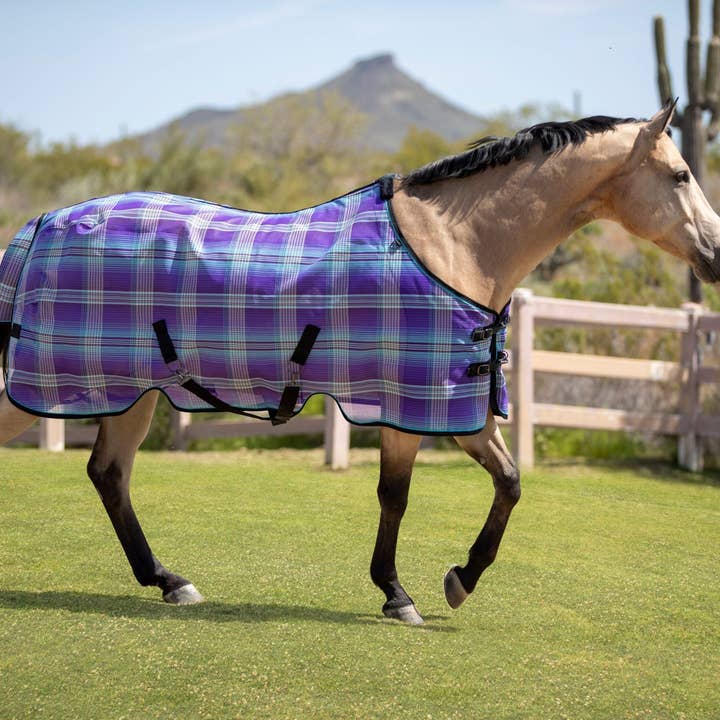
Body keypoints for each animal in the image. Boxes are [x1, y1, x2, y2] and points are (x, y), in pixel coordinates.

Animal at [1, 101, 718, 626]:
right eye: (682, 175)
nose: (715, 254)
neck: (453, 245)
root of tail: (39, 224)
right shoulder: (419, 403)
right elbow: (398, 496)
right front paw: (406, 593)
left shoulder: (455, 407)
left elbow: (509, 482)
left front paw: (455, 580)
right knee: (97, 468)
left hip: (131, 390)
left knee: (109, 474)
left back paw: (170, 581)